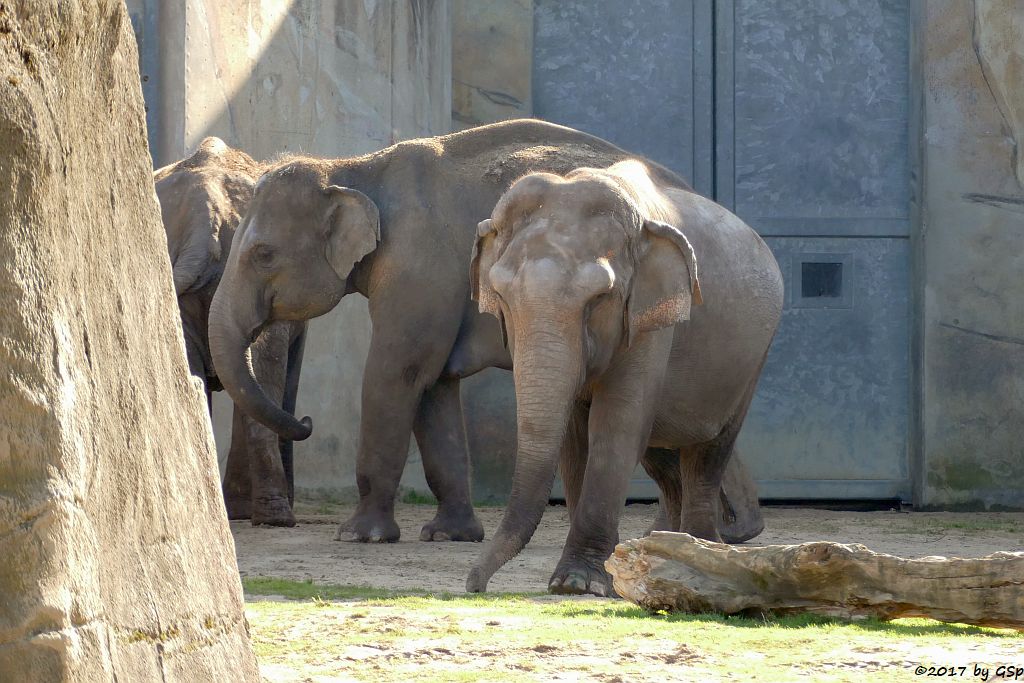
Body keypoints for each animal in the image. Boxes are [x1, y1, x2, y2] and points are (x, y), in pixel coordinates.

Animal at [207, 116, 765, 544]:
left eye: (262, 254)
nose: (304, 421)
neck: (352, 167)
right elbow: (433, 387)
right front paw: (450, 535)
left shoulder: (419, 266)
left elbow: (397, 373)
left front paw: (359, 536)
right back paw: (702, 535)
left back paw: (717, 536)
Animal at [464, 160, 782, 598]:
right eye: (501, 296)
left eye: (599, 298)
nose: (473, 584)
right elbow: (574, 440)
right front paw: (595, 579)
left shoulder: (651, 317)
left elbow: (616, 423)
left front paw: (581, 583)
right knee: (662, 458)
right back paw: (662, 554)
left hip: (753, 358)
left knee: (708, 454)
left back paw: (701, 553)